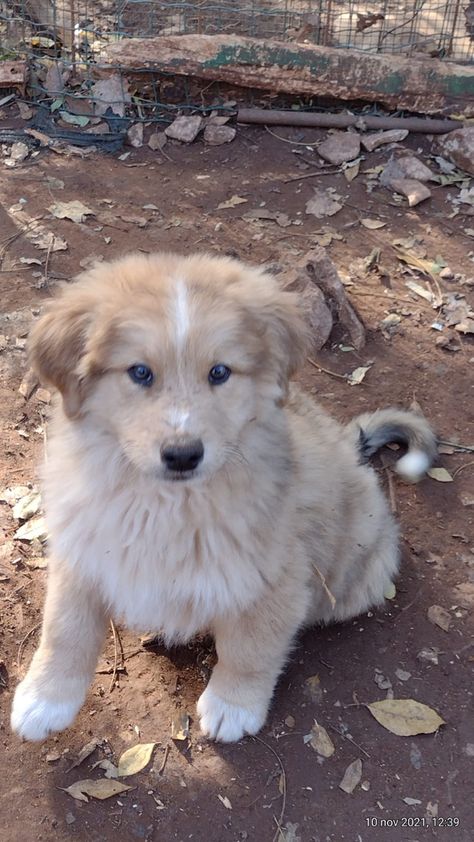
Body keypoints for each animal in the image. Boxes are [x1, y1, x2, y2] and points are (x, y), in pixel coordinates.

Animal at [9, 253, 436, 740]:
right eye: (140, 372)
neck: (165, 504)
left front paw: (234, 704)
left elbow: (250, 647)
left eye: (219, 373)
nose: (182, 455)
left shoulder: (274, 578)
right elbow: (64, 629)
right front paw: (46, 697)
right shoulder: (83, 550)